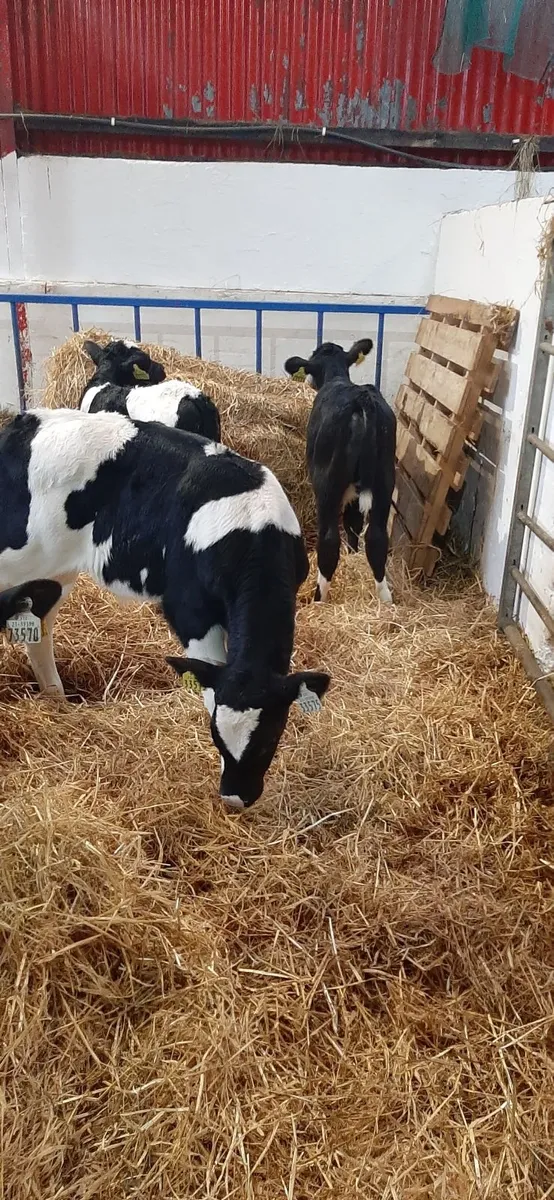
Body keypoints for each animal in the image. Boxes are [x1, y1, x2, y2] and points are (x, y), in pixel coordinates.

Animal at [0, 408, 330, 809]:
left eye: (270, 739)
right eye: (216, 735)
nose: (236, 799)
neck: (253, 526)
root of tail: (27, 420)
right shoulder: (190, 613)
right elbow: (209, 685)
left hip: (54, 570)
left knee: (39, 628)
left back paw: (55, 697)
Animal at [284, 339, 395, 605]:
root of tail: (362, 401)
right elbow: (354, 525)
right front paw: (352, 555)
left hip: (328, 486)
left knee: (328, 541)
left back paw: (319, 598)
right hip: (385, 482)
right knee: (377, 538)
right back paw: (386, 600)